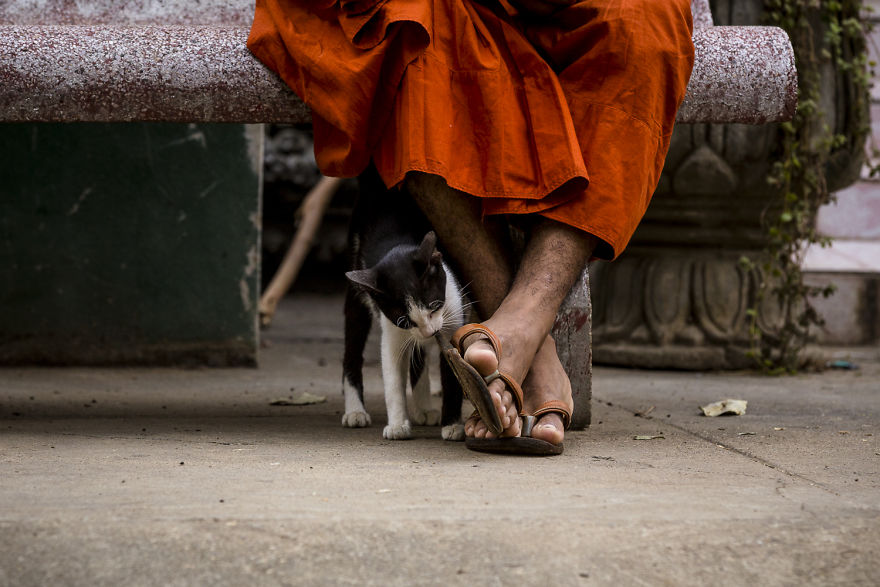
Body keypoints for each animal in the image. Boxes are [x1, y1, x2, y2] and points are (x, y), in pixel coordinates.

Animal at [342, 165, 468, 440]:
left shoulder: (453, 310)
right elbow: (392, 376)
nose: (430, 332)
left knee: (418, 355)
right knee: (352, 348)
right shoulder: (393, 328)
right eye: (405, 320)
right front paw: (398, 425)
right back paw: (355, 410)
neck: (396, 245)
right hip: (356, 279)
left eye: (434, 306)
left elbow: (451, 372)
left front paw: (453, 425)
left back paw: (424, 408)